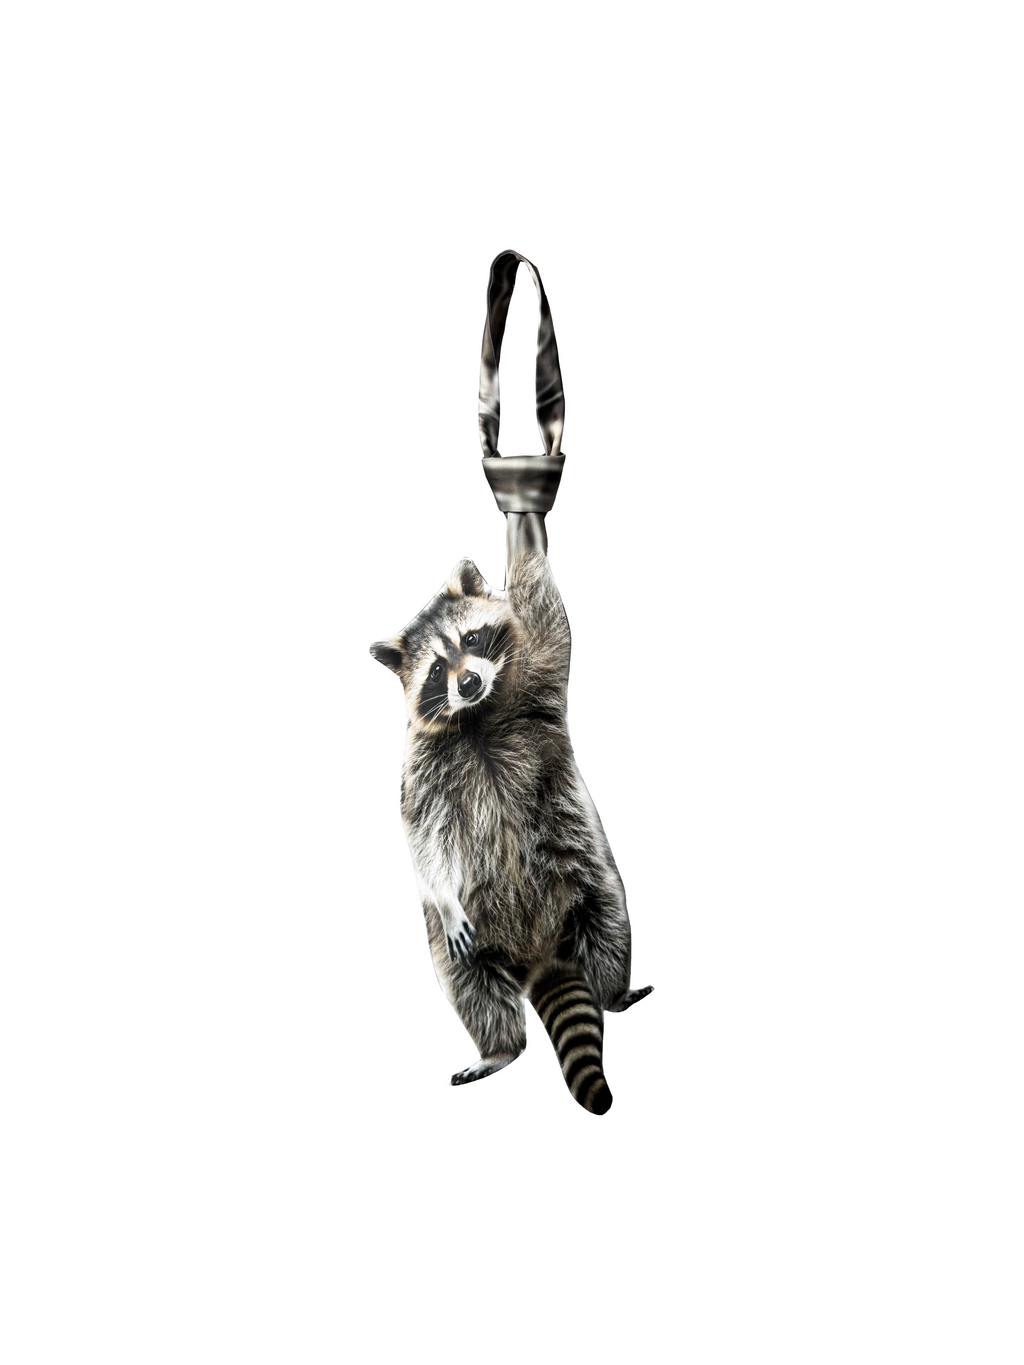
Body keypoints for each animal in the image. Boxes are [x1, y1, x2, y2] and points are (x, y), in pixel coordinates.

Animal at [370, 522, 651, 1115]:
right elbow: (421, 834)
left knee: (610, 924)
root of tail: (541, 957)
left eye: (472, 640)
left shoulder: (539, 677)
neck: (475, 716)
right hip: (460, 942)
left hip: (589, 879)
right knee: (469, 983)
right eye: (436, 670)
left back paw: (613, 991)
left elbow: (547, 614)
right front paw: (441, 890)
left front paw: (524, 524)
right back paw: (499, 1048)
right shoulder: (418, 766)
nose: (469, 684)